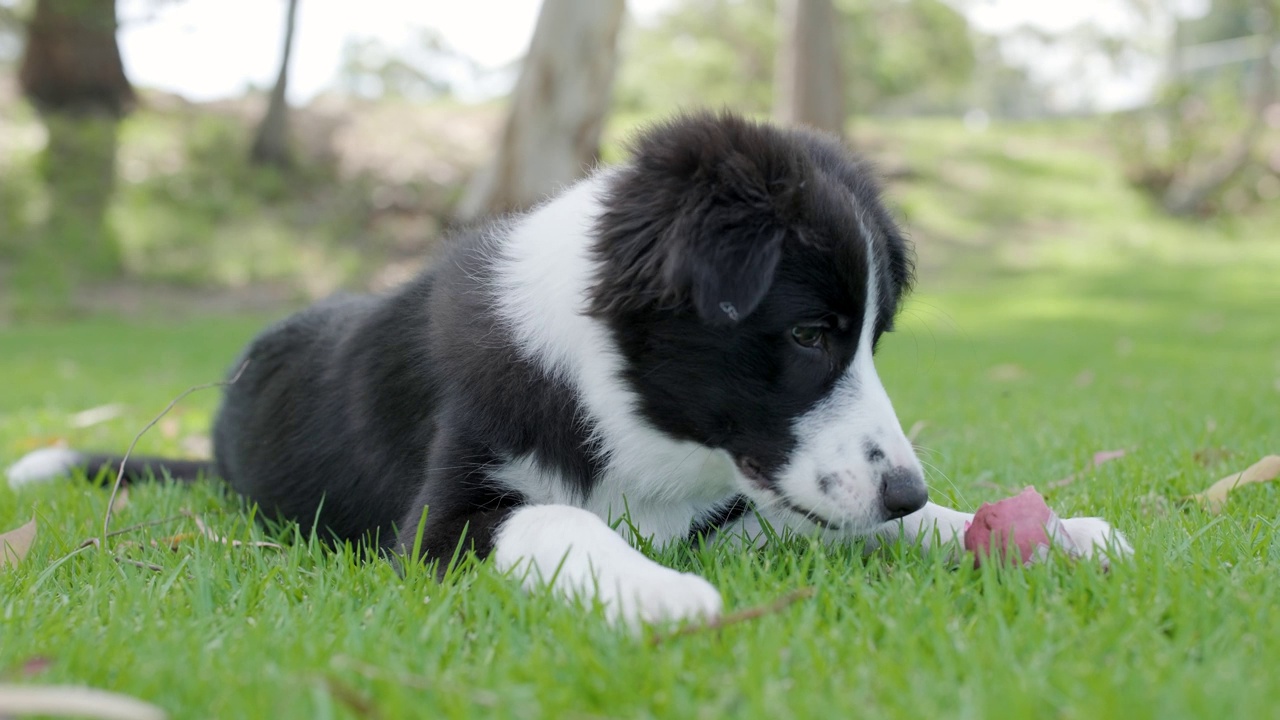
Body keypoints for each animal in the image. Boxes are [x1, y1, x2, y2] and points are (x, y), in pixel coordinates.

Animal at [10, 110, 1131, 622]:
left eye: (869, 338)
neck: (610, 390)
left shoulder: (744, 501)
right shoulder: (441, 526)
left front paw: (1055, 532)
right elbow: (555, 518)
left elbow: (848, 520)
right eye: (811, 334)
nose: (905, 488)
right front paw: (660, 592)